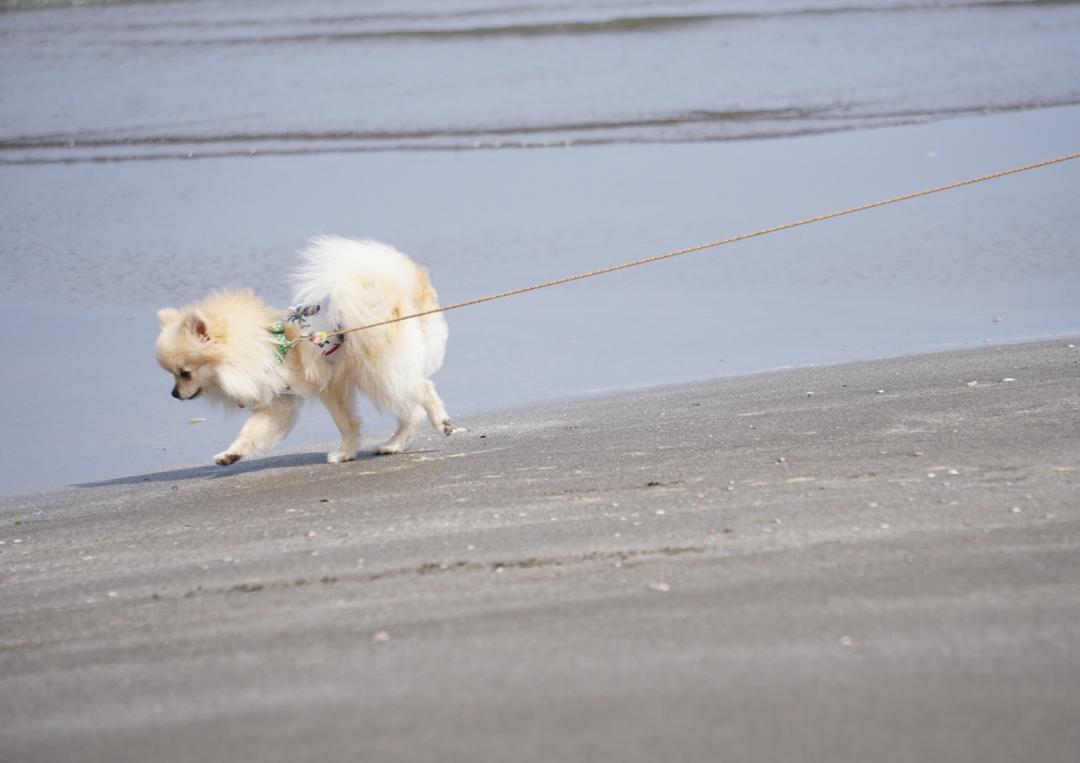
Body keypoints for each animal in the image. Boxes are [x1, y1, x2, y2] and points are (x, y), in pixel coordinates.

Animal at [156, 236, 451, 462]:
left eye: (185, 373)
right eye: (173, 375)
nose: (173, 394)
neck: (266, 346)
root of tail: (396, 296)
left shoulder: (330, 386)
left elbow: (346, 423)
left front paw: (344, 454)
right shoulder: (280, 402)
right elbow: (250, 431)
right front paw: (231, 455)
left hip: (377, 370)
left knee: (423, 391)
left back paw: (441, 424)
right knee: (412, 411)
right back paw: (393, 445)